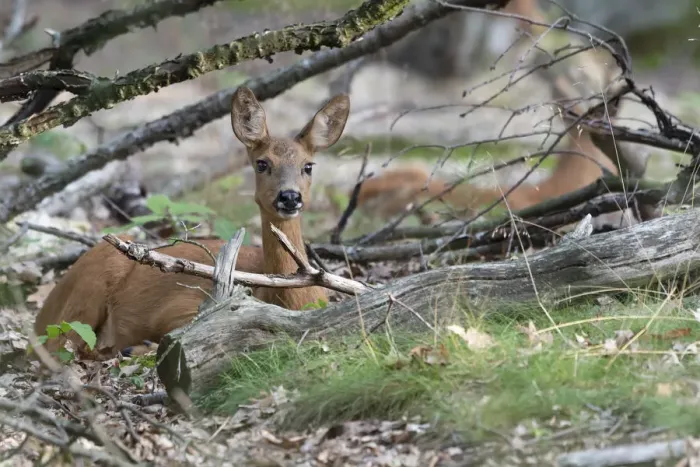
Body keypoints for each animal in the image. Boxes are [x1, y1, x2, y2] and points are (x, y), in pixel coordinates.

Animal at [34, 86, 351, 360]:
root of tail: (41, 314)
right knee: (57, 347)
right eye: (262, 163)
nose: (289, 196)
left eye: (308, 166)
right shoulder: (182, 308)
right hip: (90, 286)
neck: (290, 298)